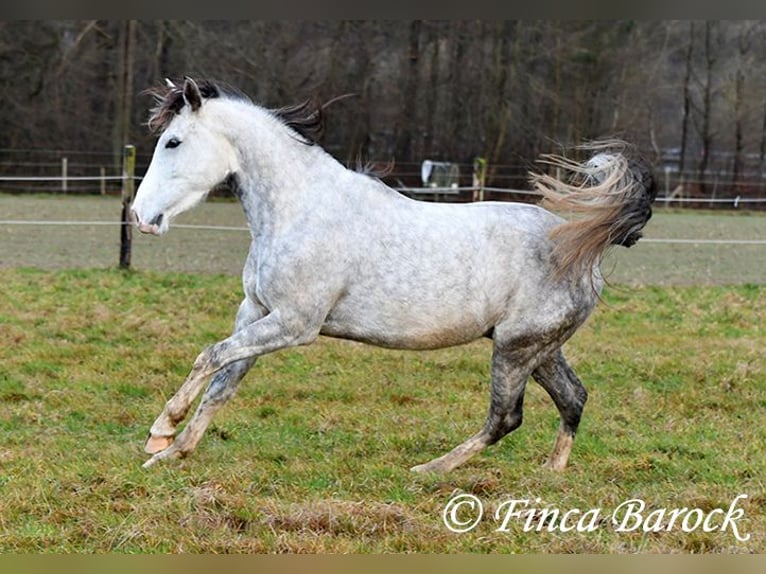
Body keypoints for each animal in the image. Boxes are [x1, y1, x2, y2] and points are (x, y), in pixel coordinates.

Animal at [130, 77, 656, 472]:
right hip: (539, 349)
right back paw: (549, 475)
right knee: (573, 399)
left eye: (173, 141)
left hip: (516, 348)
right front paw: (172, 453)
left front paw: (161, 431)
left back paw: (428, 471)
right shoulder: (256, 312)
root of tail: (582, 251)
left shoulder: (294, 324)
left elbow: (210, 356)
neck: (299, 210)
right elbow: (224, 380)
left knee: (505, 418)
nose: (140, 216)